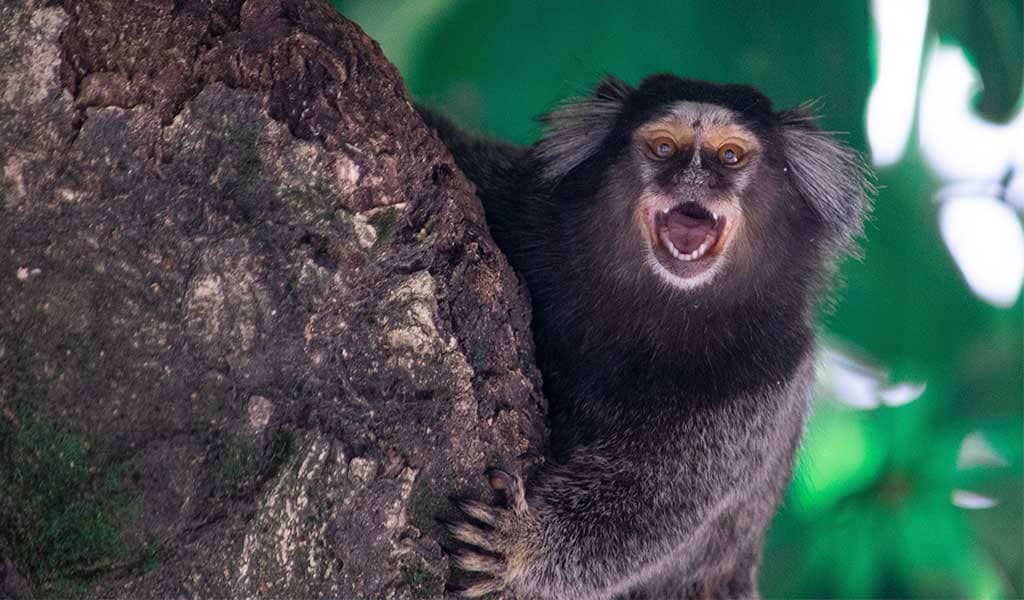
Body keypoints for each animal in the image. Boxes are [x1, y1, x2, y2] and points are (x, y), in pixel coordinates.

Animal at [418, 74, 871, 600]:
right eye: (663, 147)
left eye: (729, 155)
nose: (692, 178)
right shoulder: (518, 203)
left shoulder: (769, 370)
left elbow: (654, 499)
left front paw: (521, 547)